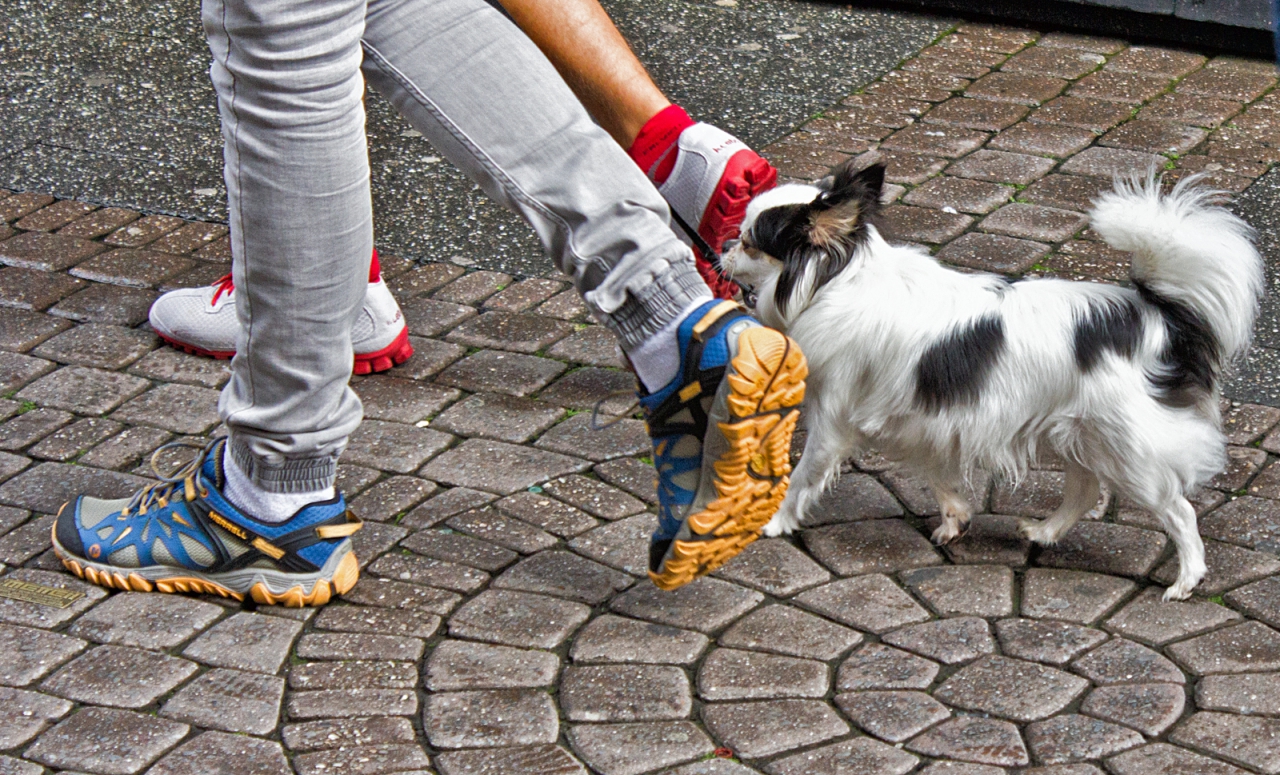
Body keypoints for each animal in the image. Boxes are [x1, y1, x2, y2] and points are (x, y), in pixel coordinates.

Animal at [727, 160, 1264, 602]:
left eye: (751, 242)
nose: (724, 248)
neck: (839, 280)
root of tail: (1157, 314)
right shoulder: (928, 419)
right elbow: (940, 477)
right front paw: (955, 522)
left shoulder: (833, 420)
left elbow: (802, 477)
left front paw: (773, 523)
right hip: (1082, 433)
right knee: (1085, 489)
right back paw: (1045, 533)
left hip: (1131, 450)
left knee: (1178, 511)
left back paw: (1186, 580)